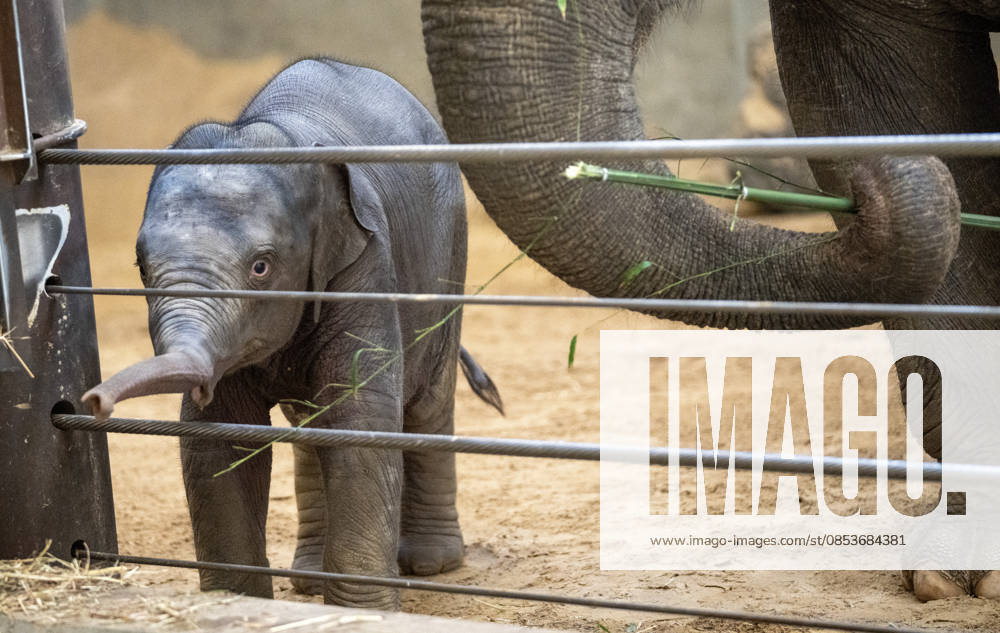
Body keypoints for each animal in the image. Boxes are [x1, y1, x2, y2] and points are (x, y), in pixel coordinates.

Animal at [81, 57, 503, 609]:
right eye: (141, 267)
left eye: (261, 267)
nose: (93, 401)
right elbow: (219, 435)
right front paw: (236, 602)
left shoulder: (365, 264)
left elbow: (360, 420)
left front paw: (364, 611)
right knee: (309, 426)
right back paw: (309, 579)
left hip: (449, 254)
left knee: (427, 403)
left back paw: (430, 563)